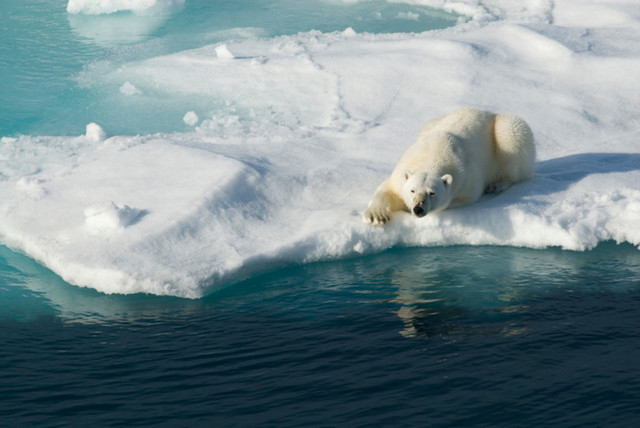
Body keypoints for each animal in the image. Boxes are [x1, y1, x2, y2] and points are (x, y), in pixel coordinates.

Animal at [364, 107, 536, 226]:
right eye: (412, 190)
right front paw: (377, 216)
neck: (432, 155)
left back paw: (498, 184)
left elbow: (464, 197)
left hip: (506, 132)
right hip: (432, 123)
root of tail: (489, 113)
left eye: (432, 193)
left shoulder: (467, 177)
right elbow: (387, 189)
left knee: (511, 139)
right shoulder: (403, 168)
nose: (418, 209)